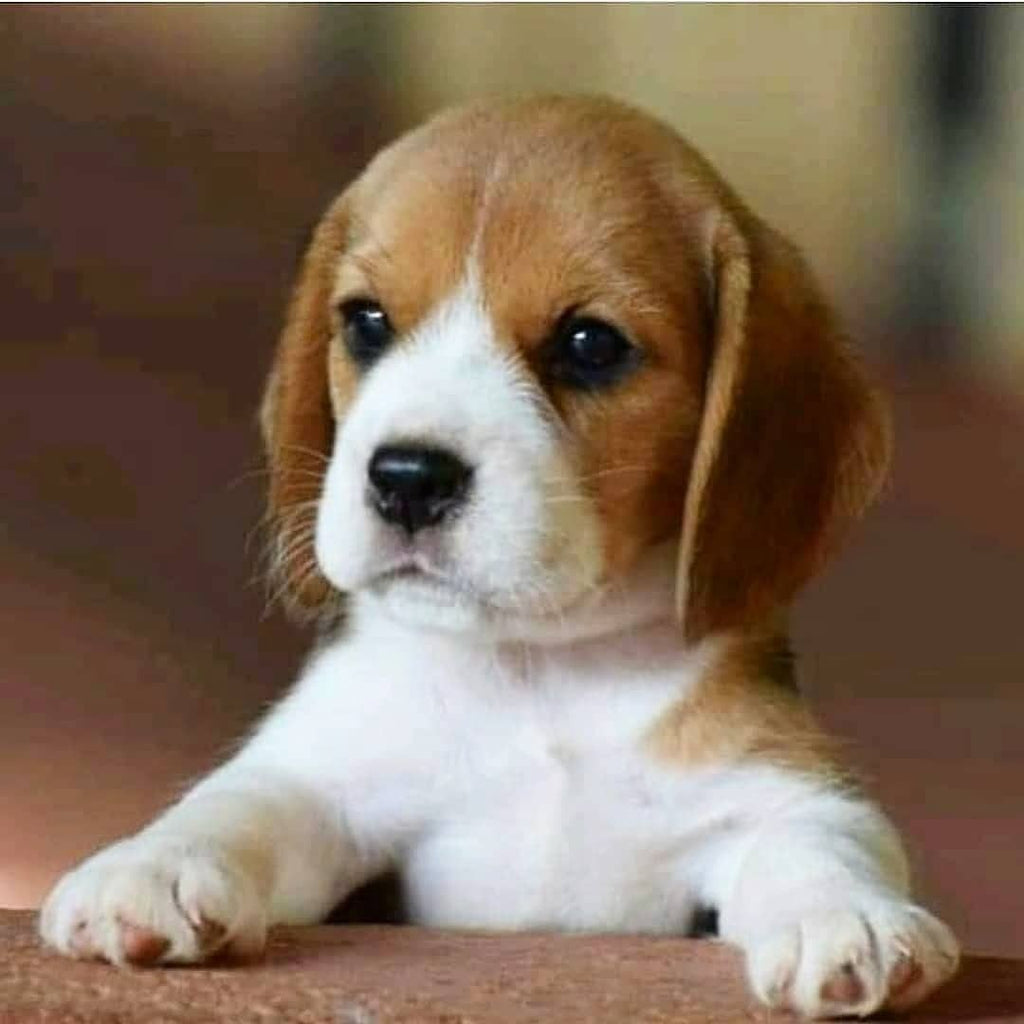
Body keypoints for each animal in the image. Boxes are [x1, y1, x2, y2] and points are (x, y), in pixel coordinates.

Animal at [40, 96, 959, 1018]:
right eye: (366, 322)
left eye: (591, 345)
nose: (408, 479)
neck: (536, 674)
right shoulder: (325, 778)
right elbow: (241, 803)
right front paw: (152, 868)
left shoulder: (780, 785)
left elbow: (815, 841)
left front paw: (846, 917)